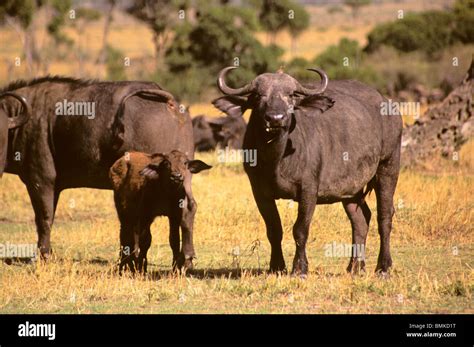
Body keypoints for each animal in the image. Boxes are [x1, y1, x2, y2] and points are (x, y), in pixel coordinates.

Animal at [0, 76, 196, 268]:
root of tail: (171, 104)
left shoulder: (41, 180)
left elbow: (44, 219)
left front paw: (42, 256)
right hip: (182, 175)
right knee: (187, 207)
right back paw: (183, 259)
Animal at [213, 67, 402, 278]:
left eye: (291, 95)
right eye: (258, 95)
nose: (275, 119)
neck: (276, 160)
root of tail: (390, 107)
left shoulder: (309, 189)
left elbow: (300, 229)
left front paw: (300, 268)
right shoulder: (259, 192)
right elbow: (274, 229)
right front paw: (277, 266)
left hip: (388, 167)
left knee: (384, 216)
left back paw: (383, 266)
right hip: (351, 189)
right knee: (361, 219)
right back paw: (355, 266)